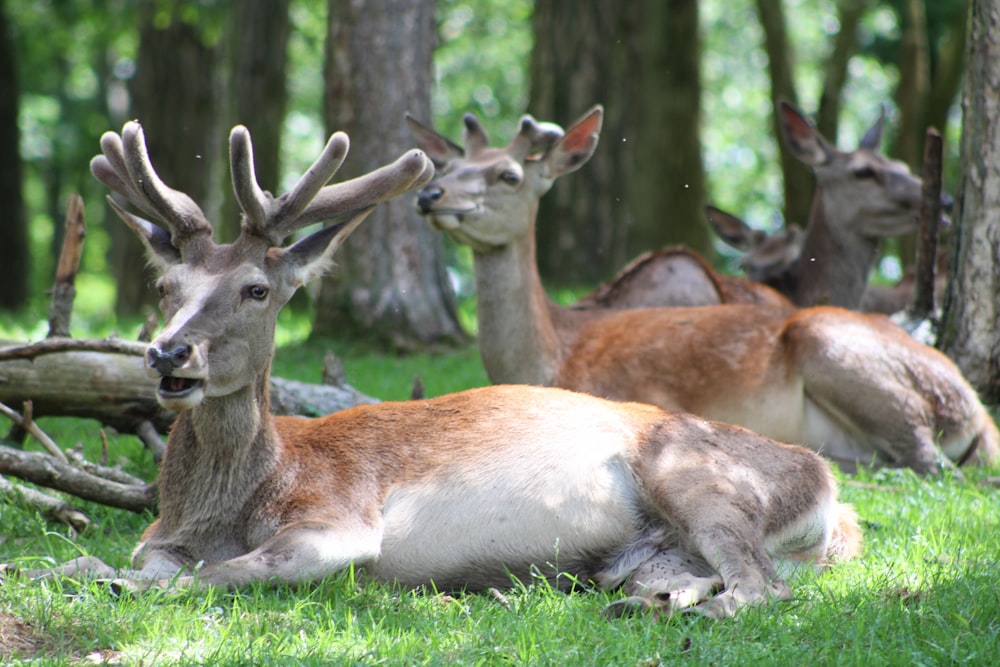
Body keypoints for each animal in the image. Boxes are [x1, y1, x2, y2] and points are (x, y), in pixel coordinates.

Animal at [0, 121, 864, 620]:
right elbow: (92, 557)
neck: (221, 508)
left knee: (763, 585)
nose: (169, 352)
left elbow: (207, 577)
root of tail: (832, 493)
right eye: (164, 288)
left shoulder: (338, 518)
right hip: (648, 550)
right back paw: (640, 604)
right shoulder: (158, 537)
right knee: (689, 577)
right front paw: (67, 569)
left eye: (256, 289)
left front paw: (122, 585)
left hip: (696, 472)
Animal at [408, 105, 1000, 474]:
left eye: (508, 175)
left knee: (930, 461)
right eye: (448, 165)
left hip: (837, 349)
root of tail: (975, 408)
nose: (430, 195)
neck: (553, 352)